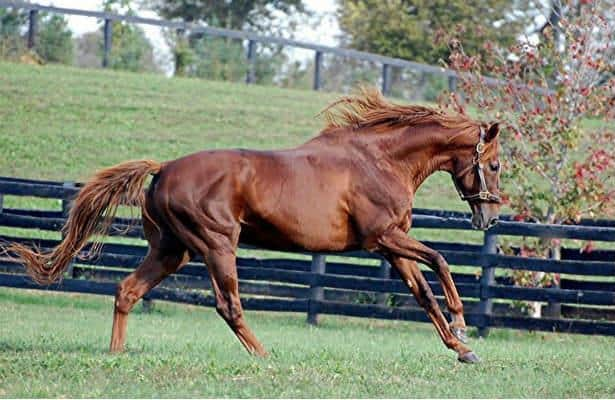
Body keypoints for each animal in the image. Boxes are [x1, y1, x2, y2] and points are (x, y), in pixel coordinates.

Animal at [8, 87, 500, 362]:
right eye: (494, 165)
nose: (490, 215)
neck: (379, 160)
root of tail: (163, 168)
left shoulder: (391, 246)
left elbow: (423, 295)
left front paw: (463, 349)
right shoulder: (384, 238)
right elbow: (440, 261)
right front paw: (462, 323)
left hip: (171, 251)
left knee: (127, 290)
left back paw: (116, 354)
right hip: (216, 245)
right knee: (229, 306)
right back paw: (265, 356)